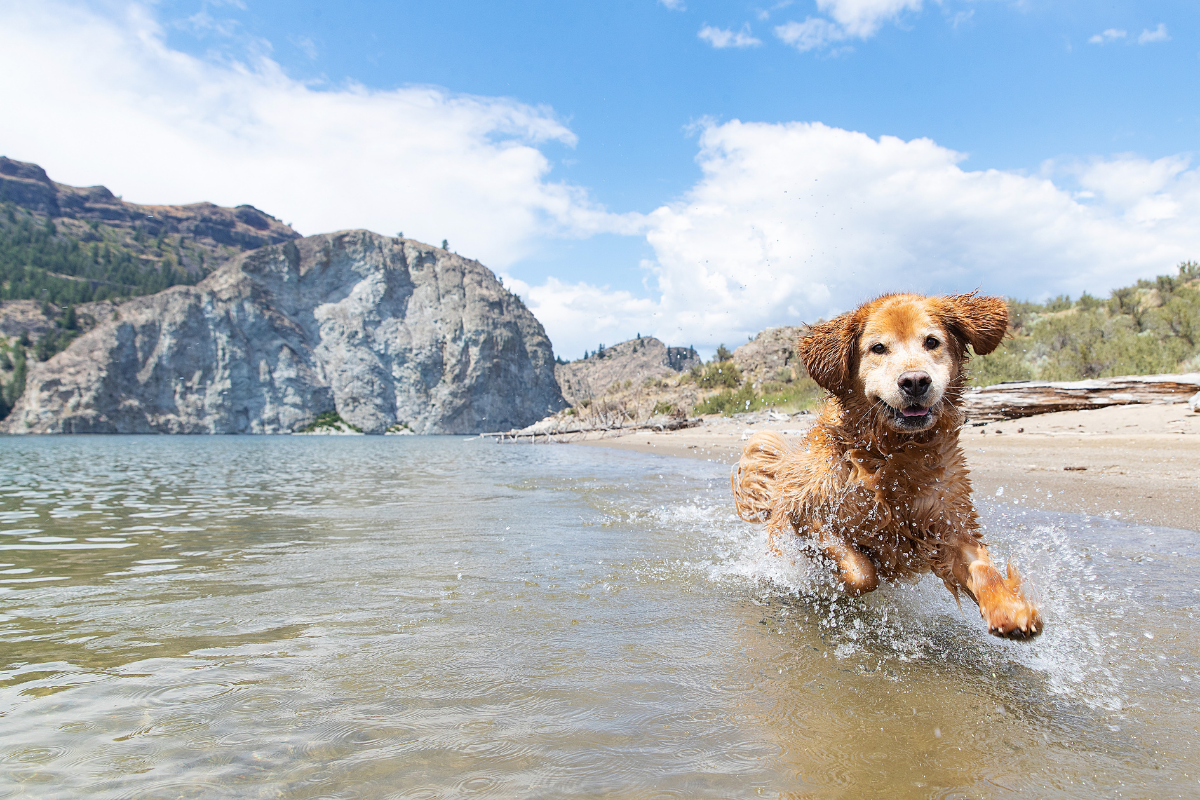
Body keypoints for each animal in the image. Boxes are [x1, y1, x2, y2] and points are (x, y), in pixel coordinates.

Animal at [729, 292, 1041, 638]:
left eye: (932, 342)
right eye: (878, 348)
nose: (915, 381)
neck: (894, 452)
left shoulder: (948, 519)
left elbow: (982, 567)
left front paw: (1009, 609)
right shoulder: (810, 511)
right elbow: (862, 573)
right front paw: (837, 582)